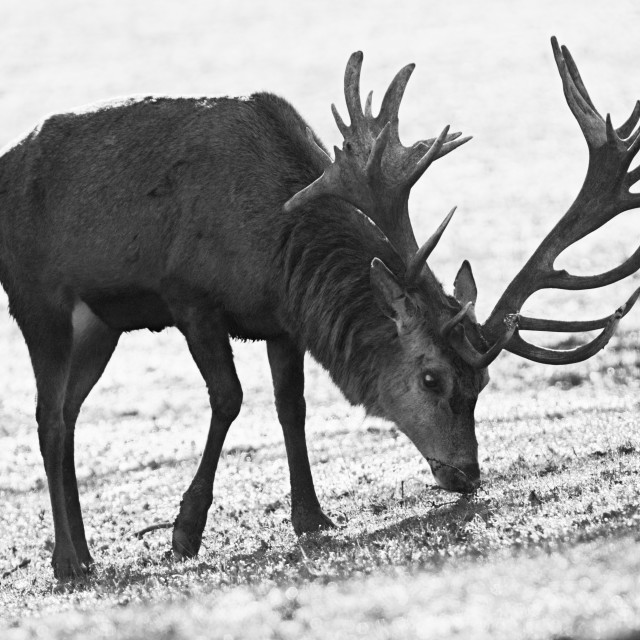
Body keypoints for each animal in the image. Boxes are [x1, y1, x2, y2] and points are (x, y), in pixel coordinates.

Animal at [0, 38, 636, 580]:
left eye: (480, 385)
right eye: (432, 378)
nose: (466, 473)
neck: (275, 251)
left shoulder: (280, 323)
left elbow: (293, 407)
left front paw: (311, 516)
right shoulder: (189, 295)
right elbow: (229, 398)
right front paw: (185, 530)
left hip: (99, 326)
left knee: (68, 414)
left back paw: (80, 551)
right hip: (38, 300)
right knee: (49, 416)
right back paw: (69, 561)